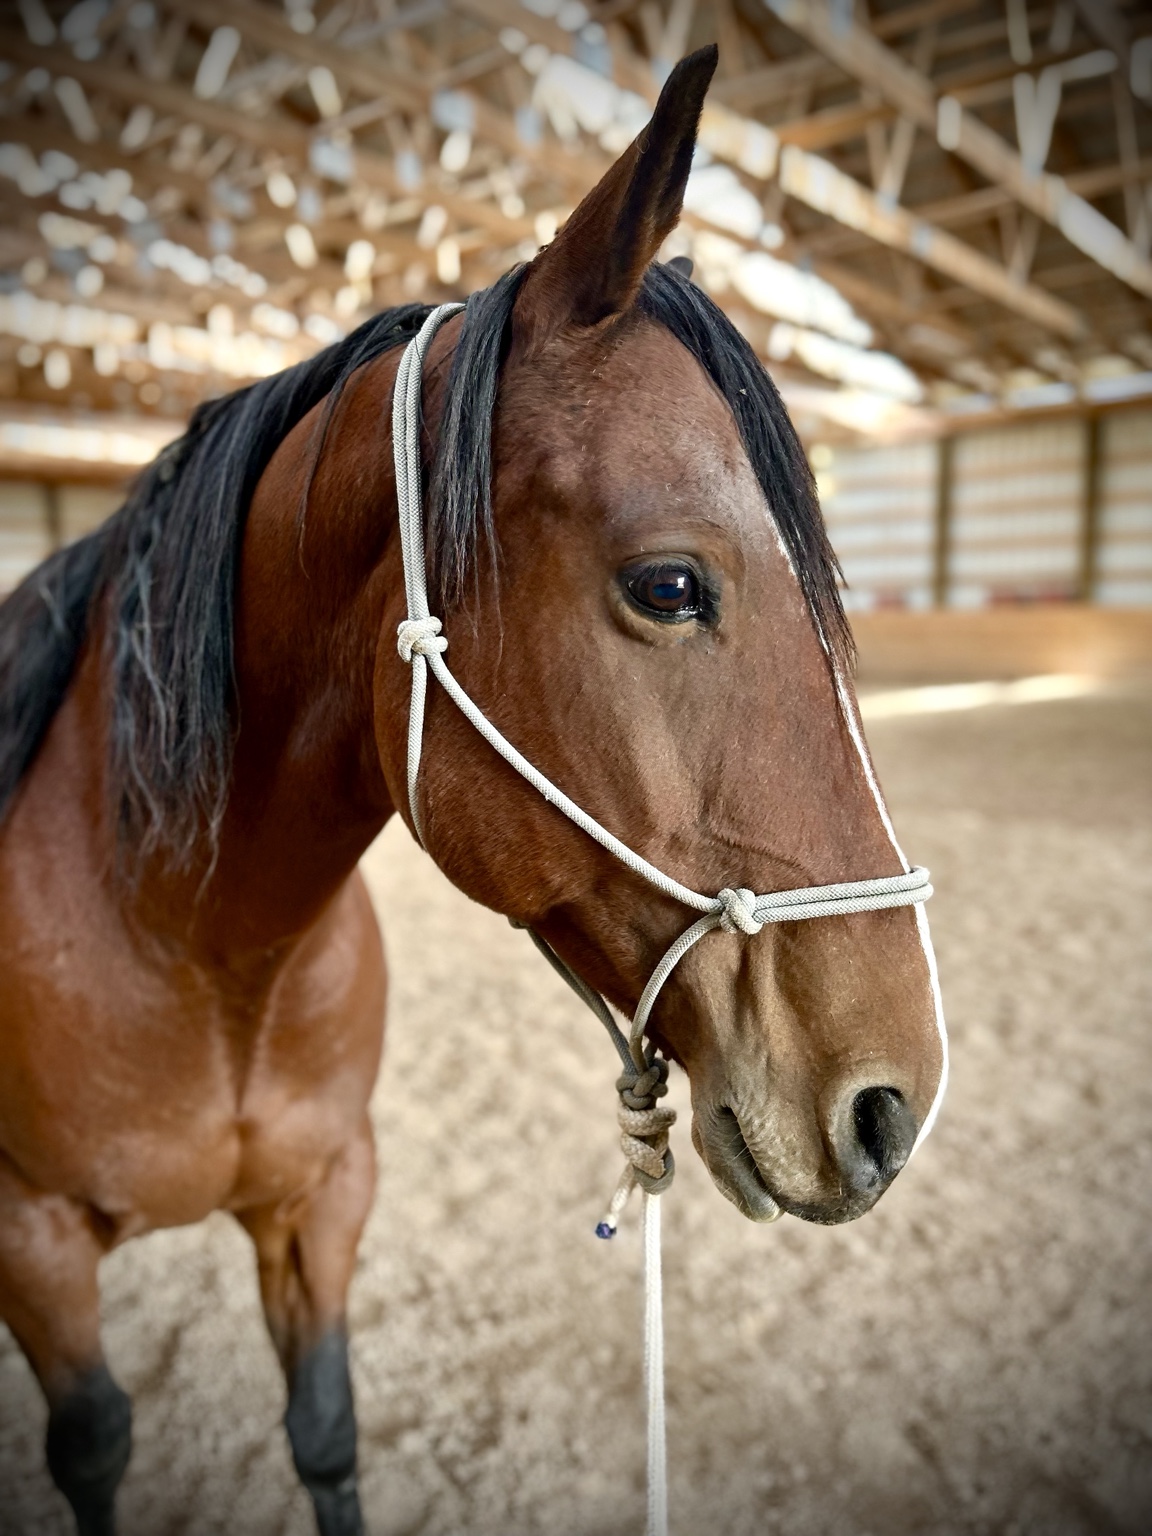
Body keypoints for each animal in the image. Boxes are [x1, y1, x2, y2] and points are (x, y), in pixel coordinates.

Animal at [0, 48, 945, 1536]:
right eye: (669, 584)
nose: (895, 1105)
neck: (190, 946)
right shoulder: (31, 1246)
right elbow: (94, 1450)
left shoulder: (327, 1202)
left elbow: (326, 1430)